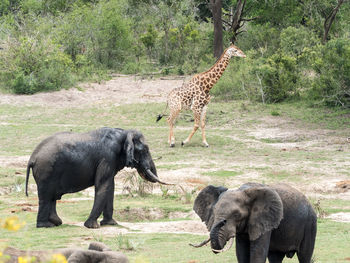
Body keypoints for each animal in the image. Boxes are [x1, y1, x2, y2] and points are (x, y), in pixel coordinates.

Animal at [25, 128, 170, 229]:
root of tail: (32, 158)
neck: (124, 133)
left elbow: (110, 186)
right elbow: (103, 185)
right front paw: (92, 226)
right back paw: (46, 225)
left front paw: (110, 223)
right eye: (145, 150)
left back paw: (56, 222)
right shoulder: (107, 157)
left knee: (51, 197)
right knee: (46, 196)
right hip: (46, 169)